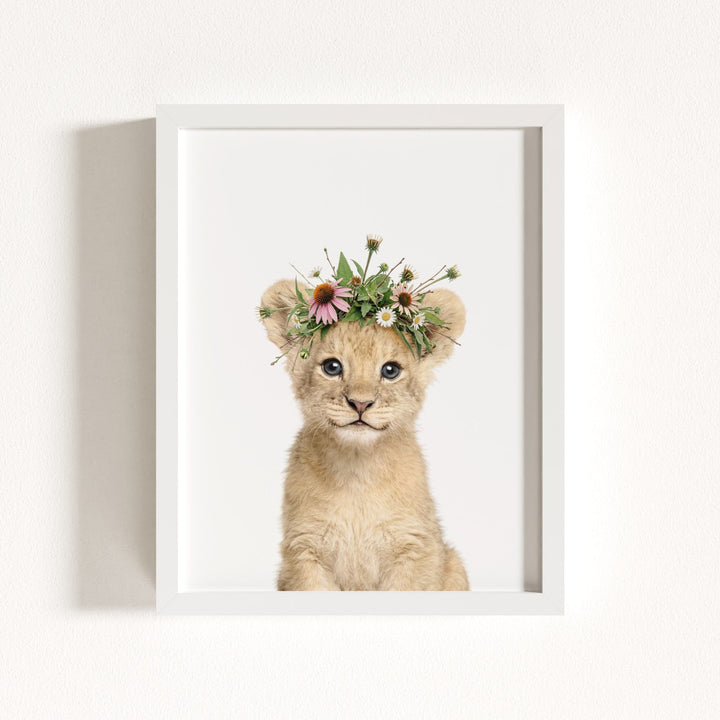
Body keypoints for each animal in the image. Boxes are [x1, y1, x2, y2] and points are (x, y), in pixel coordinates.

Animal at [260, 279, 469, 591]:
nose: (360, 404)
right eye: (332, 367)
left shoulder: (415, 548)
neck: (357, 472)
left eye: (390, 370)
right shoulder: (304, 550)